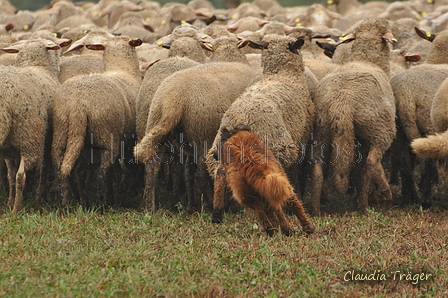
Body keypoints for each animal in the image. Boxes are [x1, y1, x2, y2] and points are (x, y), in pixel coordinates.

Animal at [0, 38, 65, 213]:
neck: (38, 67)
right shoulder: (46, 140)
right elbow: (43, 169)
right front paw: (40, 198)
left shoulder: (9, 149)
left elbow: (10, 175)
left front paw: (9, 202)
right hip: (29, 137)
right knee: (21, 175)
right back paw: (16, 209)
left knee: (14, 176)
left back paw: (12, 205)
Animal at [50, 35, 143, 207]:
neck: (122, 69)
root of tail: (78, 105)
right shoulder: (128, 140)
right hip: (106, 136)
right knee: (101, 175)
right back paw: (102, 206)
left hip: (61, 133)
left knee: (64, 172)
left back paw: (69, 205)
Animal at [206, 36, 316, 224]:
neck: (281, 74)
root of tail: (241, 117)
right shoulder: (301, 138)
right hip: (274, 148)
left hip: (219, 150)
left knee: (221, 173)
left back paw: (218, 214)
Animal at [308, 17, 396, 214]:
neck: (367, 60)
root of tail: (342, 102)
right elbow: (364, 173)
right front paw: (362, 203)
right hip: (379, 129)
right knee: (372, 161)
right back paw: (383, 195)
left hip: (322, 132)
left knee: (317, 170)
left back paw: (315, 210)